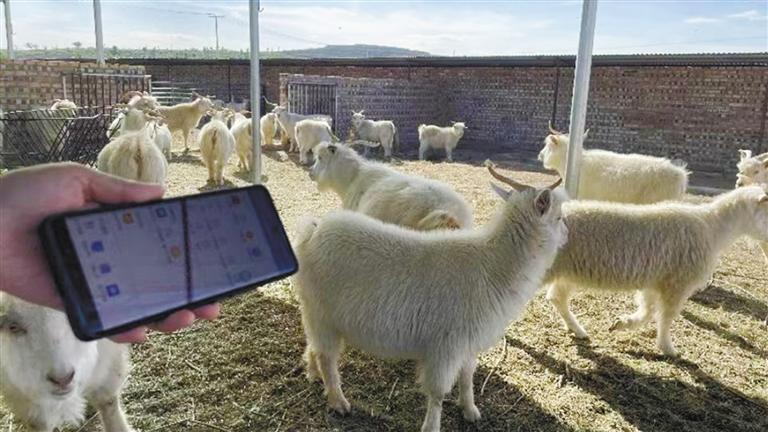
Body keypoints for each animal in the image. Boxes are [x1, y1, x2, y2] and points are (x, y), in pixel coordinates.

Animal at [293, 174, 566, 432]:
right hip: (321, 313)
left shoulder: (467, 344)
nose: (567, 236)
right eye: (559, 217)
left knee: (315, 347)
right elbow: (437, 392)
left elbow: (467, 377)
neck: (493, 266)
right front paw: (432, 425)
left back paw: (313, 373)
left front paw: (470, 409)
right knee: (327, 357)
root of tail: (313, 230)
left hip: (315, 312)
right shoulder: (445, 345)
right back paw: (338, 401)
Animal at [518, 167, 768, 356]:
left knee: (557, 297)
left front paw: (622, 324)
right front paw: (668, 348)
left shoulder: (655, 281)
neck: (712, 227)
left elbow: (647, 312)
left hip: (568, 271)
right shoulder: (677, 283)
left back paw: (578, 330)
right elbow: (666, 317)